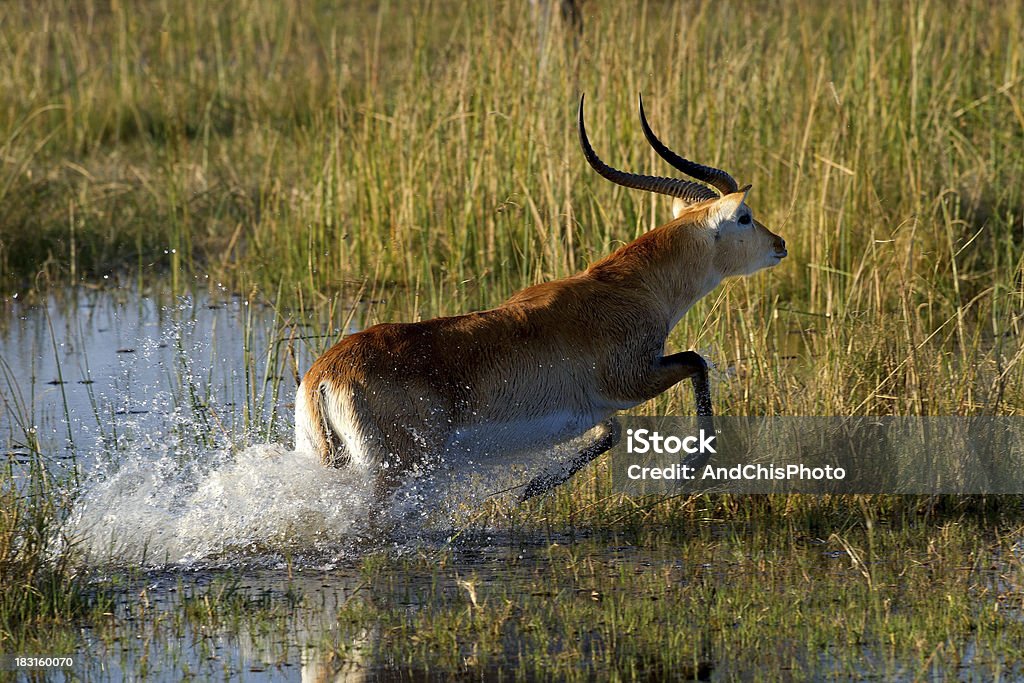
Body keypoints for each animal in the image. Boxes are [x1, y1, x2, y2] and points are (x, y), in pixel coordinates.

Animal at [292, 93, 786, 507]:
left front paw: (531, 489)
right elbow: (696, 363)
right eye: (745, 217)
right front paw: (688, 468)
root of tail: (323, 375)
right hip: (397, 472)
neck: (630, 288)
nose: (780, 243)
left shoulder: (598, 406)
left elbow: (611, 432)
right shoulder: (633, 381)